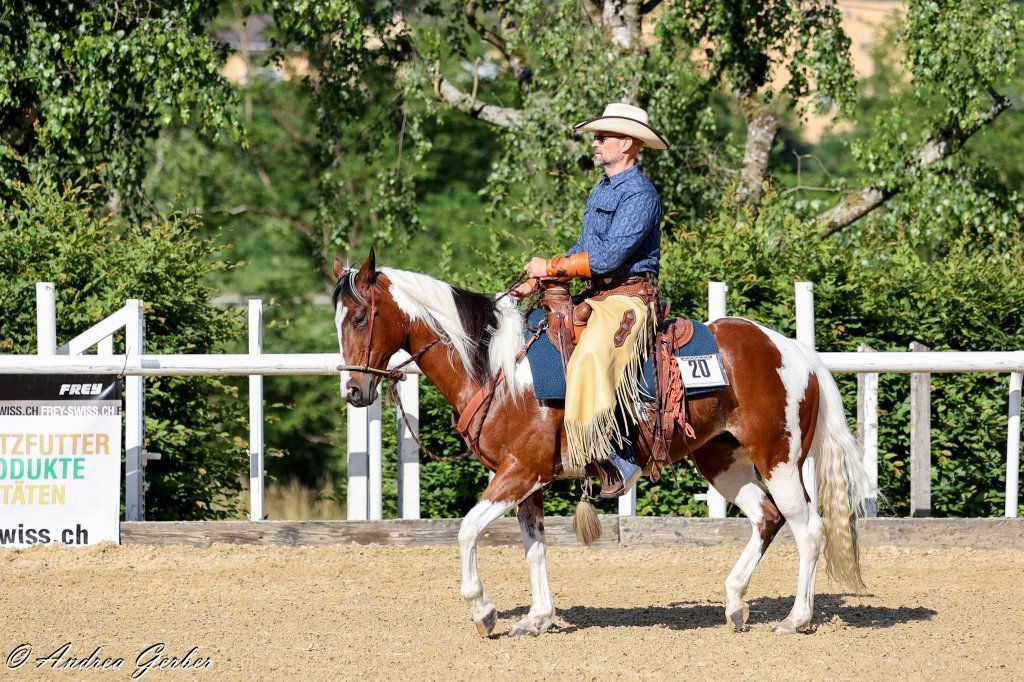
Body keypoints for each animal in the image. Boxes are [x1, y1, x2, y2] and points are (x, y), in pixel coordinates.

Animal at [332, 250, 868, 638]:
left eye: (359, 318)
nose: (354, 391)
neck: (498, 368)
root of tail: (796, 351)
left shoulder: (519, 472)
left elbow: (466, 531)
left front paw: (483, 612)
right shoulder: (527, 483)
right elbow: (534, 545)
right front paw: (538, 617)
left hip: (779, 458)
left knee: (808, 527)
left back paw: (796, 619)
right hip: (721, 458)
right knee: (766, 517)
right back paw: (735, 604)